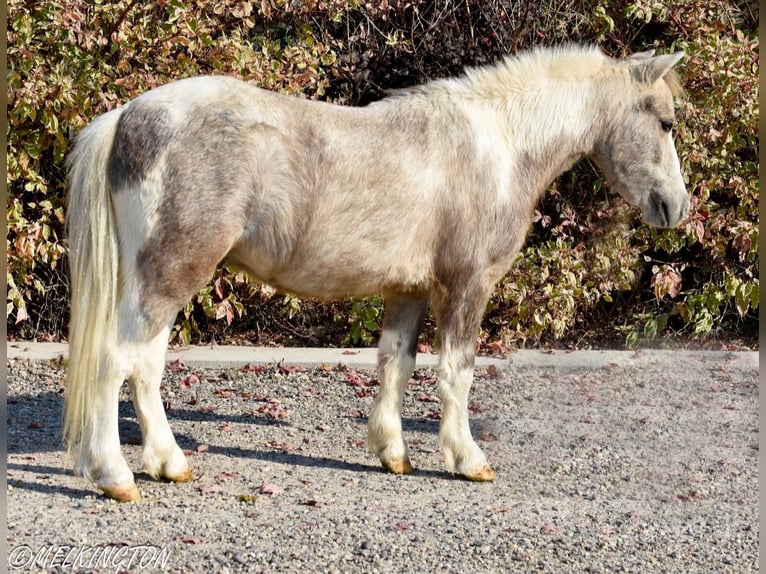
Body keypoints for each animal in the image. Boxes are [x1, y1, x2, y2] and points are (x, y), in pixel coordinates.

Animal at [64, 46, 688, 504]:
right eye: (664, 122)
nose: (676, 207)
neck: (496, 146)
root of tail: (128, 116)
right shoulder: (468, 287)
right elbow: (456, 372)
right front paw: (468, 460)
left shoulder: (407, 291)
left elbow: (397, 364)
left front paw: (393, 454)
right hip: (169, 274)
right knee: (116, 362)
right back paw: (115, 476)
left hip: (161, 280)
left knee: (145, 368)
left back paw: (169, 463)